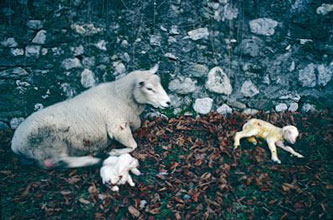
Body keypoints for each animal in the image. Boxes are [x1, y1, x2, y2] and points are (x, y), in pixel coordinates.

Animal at [11, 64, 170, 169]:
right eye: (149, 88)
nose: (168, 102)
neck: (120, 96)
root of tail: (15, 145)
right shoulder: (117, 127)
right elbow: (133, 145)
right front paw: (115, 151)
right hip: (52, 140)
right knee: (62, 161)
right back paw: (93, 160)